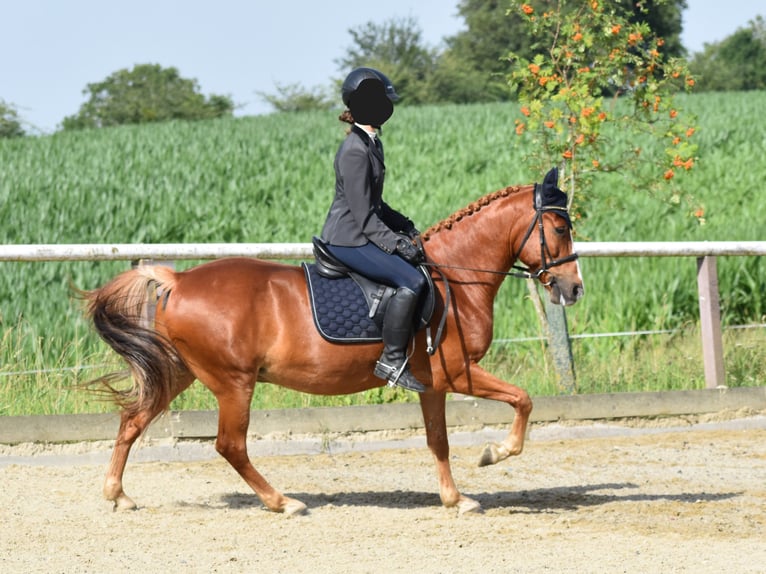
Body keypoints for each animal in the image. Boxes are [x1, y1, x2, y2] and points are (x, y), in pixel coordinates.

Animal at [84, 177, 584, 516]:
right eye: (560, 228)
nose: (574, 289)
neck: (455, 278)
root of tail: (179, 279)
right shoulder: (458, 372)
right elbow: (523, 399)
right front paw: (493, 454)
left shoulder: (432, 383)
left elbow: (438, 440)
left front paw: (455, 498)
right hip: (233, 382)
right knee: (230, 445)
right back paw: (283, 502)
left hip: (180, 371)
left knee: (133, 420)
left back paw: (118, 495)